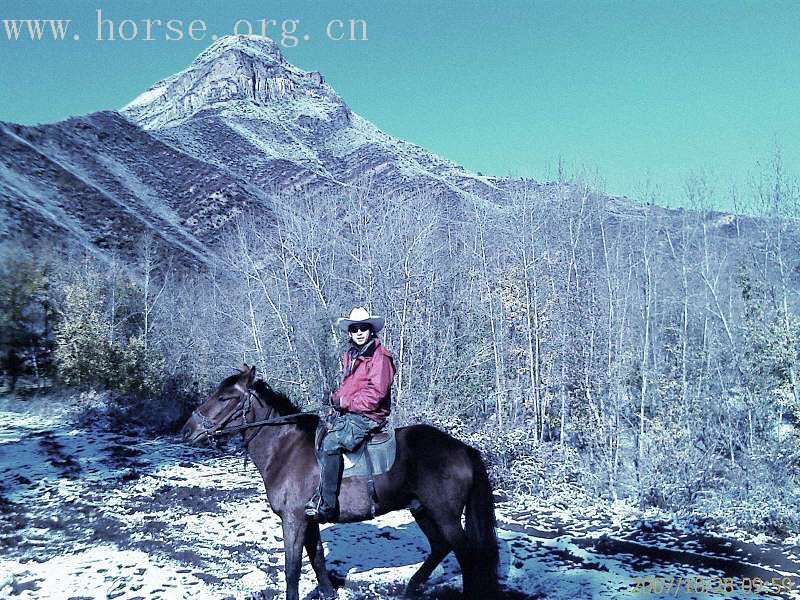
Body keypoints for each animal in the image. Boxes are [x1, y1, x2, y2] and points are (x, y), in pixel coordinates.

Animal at [180, 366, 500, 600]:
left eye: (225, 398)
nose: (187, 431)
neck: (284, 448)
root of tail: (462, 448)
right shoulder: (308, 520)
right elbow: (317, 557)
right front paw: (329, 592)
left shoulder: (293, 520)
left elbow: (292, 567)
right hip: (421, 508)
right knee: (440, 546)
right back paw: (412, 587)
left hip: (444, 513)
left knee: (465, 554)